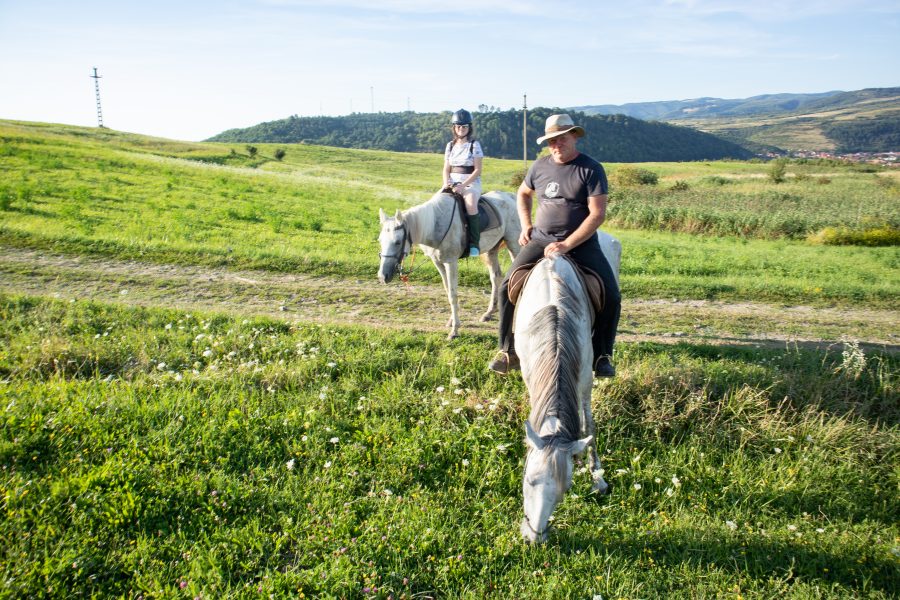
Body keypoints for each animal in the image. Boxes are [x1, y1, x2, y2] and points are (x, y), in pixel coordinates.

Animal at [378, 193, 520, 342]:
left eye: (397, 242)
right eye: (380, 240)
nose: (382, 276)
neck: (435, 225)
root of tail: (512, 196)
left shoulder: (451, 262)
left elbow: (453, 294)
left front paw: (455, 330)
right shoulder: (439, 263)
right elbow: (448, 291)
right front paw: (452, 321)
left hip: (514, 245)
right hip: (492, 250)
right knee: (495, 277)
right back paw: (489, 313)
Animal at [512, 233, 620, 544]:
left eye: (564, 489)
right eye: (528, 480)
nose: (535, 537)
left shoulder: (584, 380)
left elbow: (588, 426)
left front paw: (597, 477)